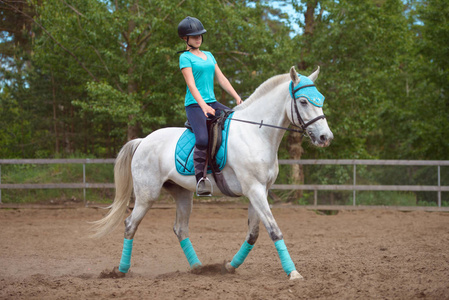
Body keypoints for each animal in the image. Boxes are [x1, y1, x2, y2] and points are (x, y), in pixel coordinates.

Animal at [92, 66, 332, 282]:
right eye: (303, 101)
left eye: (320, 98)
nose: (325, 137)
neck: (256, 133)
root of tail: (143, 141)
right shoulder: (254, 189)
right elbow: (274, 230)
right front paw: (293, 273)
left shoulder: (260, 191)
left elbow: (253, 234)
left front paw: (229, 266)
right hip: (146, 195)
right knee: (130, 224)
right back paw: (121, 271)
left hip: (182, 194)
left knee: (180, 229)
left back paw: (198, 267)